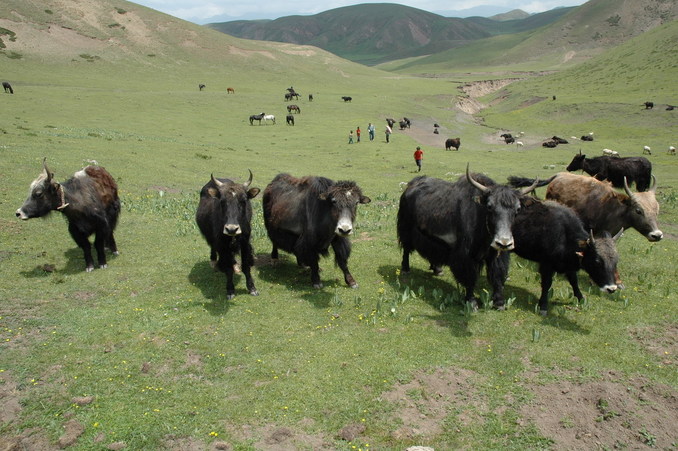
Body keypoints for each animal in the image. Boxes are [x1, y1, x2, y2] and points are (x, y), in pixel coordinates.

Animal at [398, 166, 536, 310]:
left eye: (518, 209)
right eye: (489, 207)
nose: (504, 243)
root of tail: (411, 184)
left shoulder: (496, 254)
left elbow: (497, 274)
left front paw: (499, 303)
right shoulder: (466, 255)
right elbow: (470, 277)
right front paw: (471, 302)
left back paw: (437, 269)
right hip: (405, 227)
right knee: (406, 248)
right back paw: (406, 269)